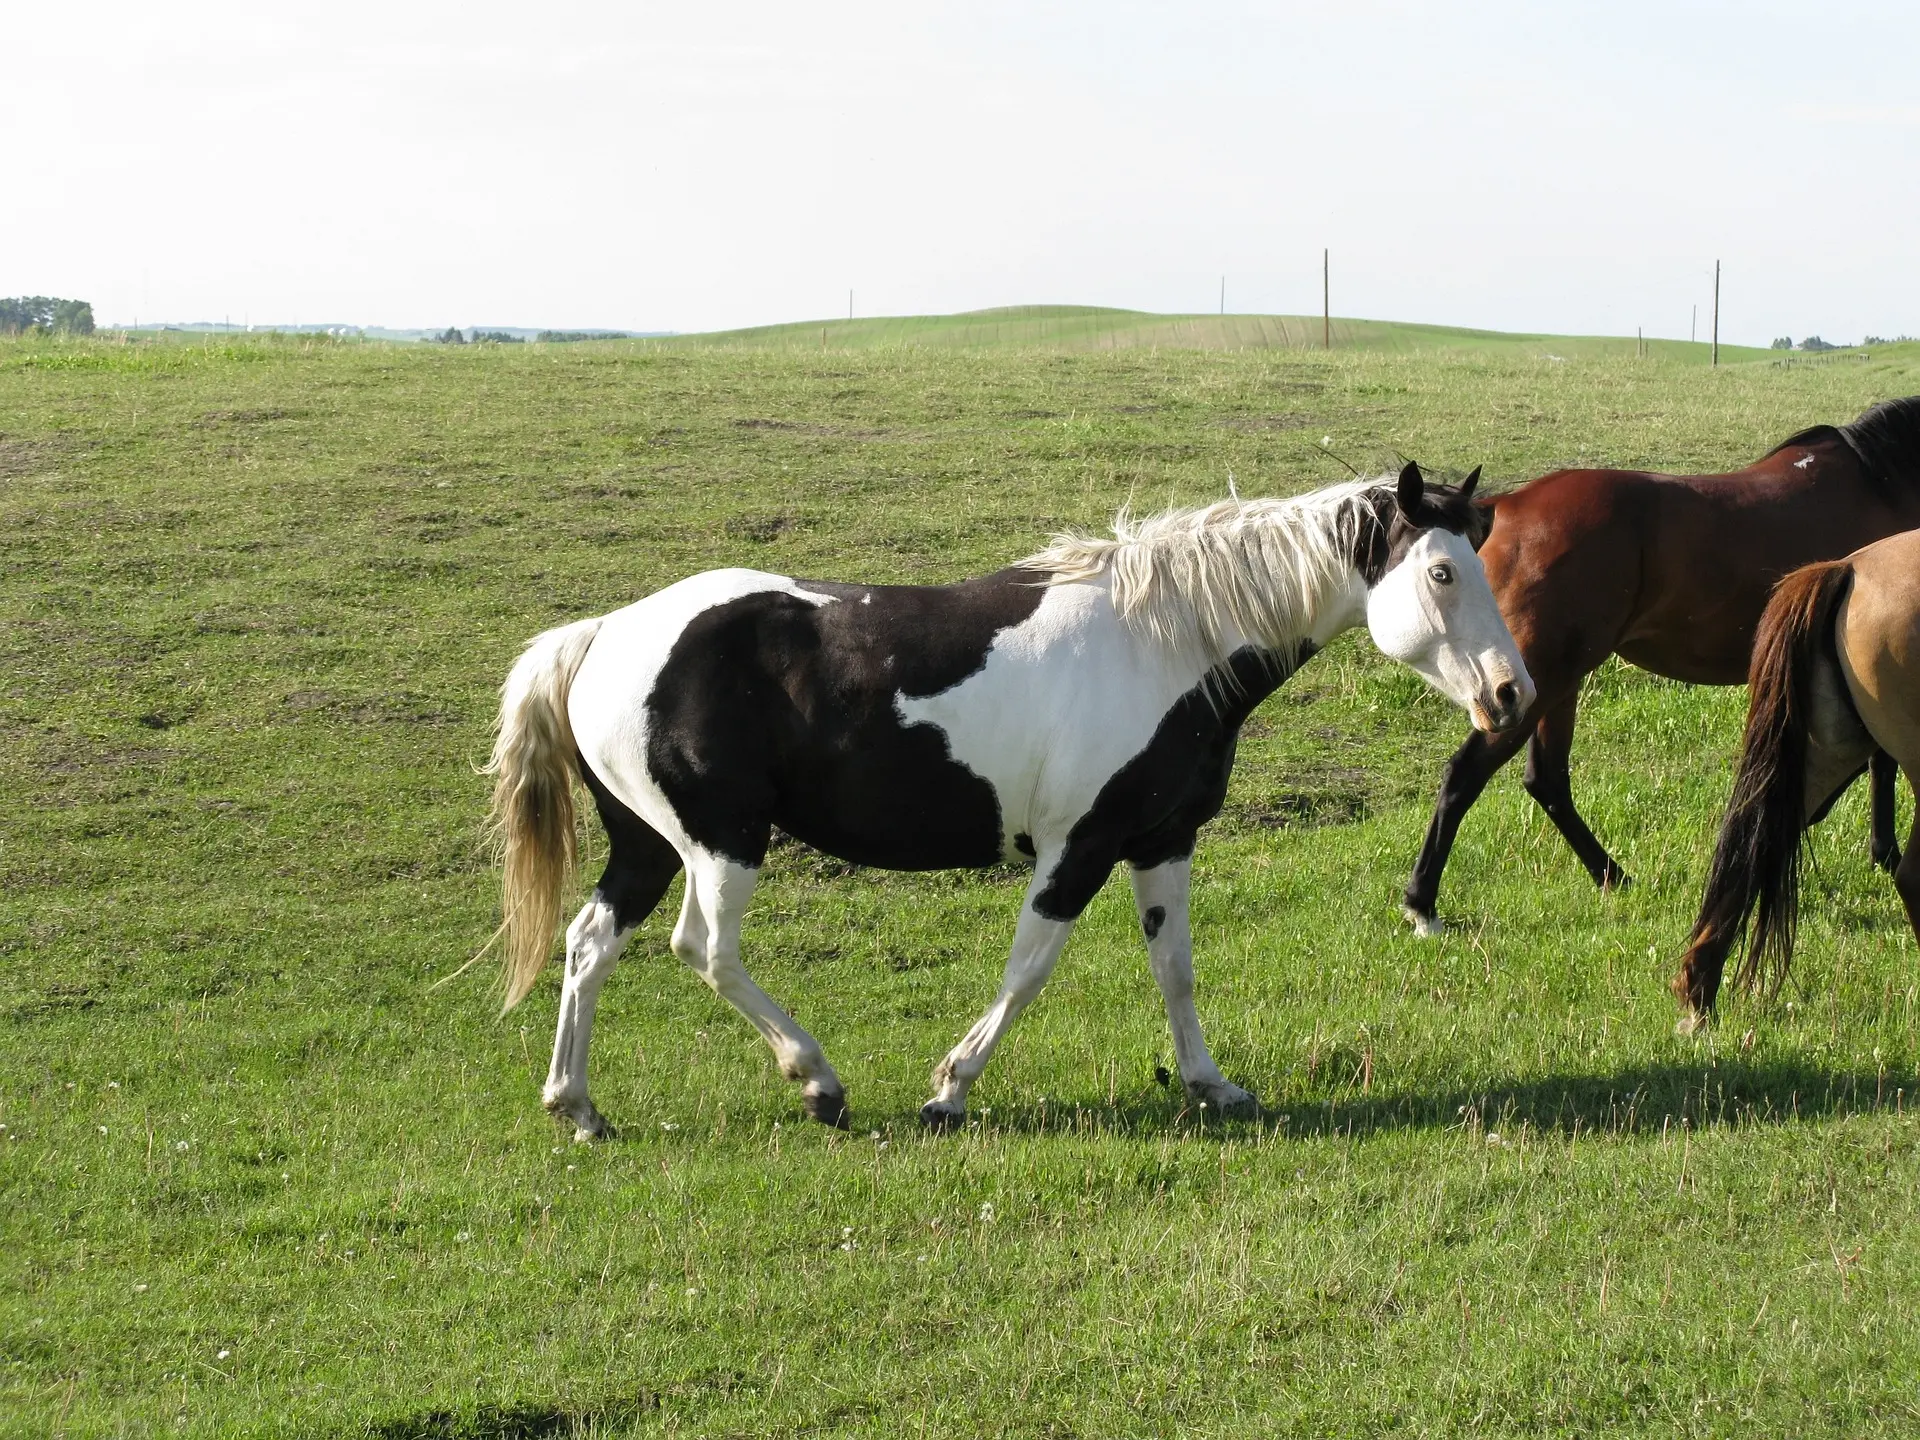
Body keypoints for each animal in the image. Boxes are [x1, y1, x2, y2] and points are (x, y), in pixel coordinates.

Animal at [491, 464, 1528, 1136]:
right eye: (1443, 571)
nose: (1512, 694)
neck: (1166, 643)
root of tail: (602, 635)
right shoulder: (1080, 846)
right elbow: (1029, 970)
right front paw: (950, 1090)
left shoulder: (1163, 840)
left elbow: (1177, 972)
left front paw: (1212, 1086)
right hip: (721, 841)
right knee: (703, 950)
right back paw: (817, 1082)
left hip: (648, 843)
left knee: (590, 942)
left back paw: (577, 1107)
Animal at [1397, 397, 1920, 936]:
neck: (1885, 482)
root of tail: (1503, 506)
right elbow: (1883, 761)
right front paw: (1884, 852)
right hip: (1531, 684)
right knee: (1467, 774)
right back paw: (1423, 902)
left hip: (1551, 684)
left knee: (1546, 779)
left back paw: (1612, 875)